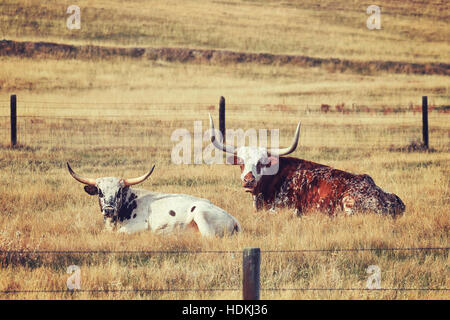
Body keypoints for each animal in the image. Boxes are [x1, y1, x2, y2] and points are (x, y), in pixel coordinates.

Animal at [67, 164, 241, 236]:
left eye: (118, 191)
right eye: (100, 192)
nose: (109, 210)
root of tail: (233, 219)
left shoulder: (138, 226)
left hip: (201, 215)